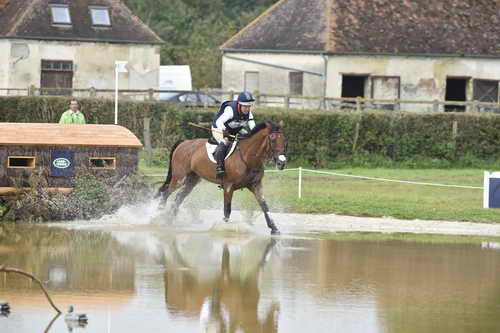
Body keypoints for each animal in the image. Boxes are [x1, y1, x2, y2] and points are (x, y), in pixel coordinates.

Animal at [158, 121, 288, 233]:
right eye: (272, 139)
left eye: (284, 140)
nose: (282, 163)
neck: (247, 158)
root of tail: (183, 143)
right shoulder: (228, 186)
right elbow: (227, 210)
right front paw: (225, 229)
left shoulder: (256, 185)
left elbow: (264, 206)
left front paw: (274, 228)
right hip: (179, 178)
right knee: (166, 193)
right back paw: (159, 213)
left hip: (192, 180)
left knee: (179, 197)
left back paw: (169, 219)